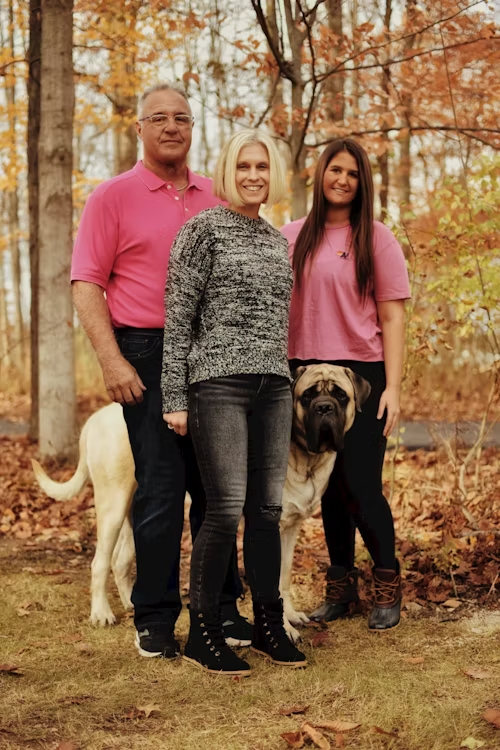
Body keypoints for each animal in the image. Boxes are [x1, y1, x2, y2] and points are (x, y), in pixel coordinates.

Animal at [31, 366, 368, 640]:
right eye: (307, 396)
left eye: (340, 395)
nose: (324, 408)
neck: (303, 456)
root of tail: (95, 419)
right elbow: (270, 582)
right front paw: (282, 630)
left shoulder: (290, 528)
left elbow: (283, 578)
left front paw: (290, 616)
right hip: (112, 504)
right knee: (99, 563)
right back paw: (101, 612)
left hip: (131, 508)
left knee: (121, 559)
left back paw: (131, 604)